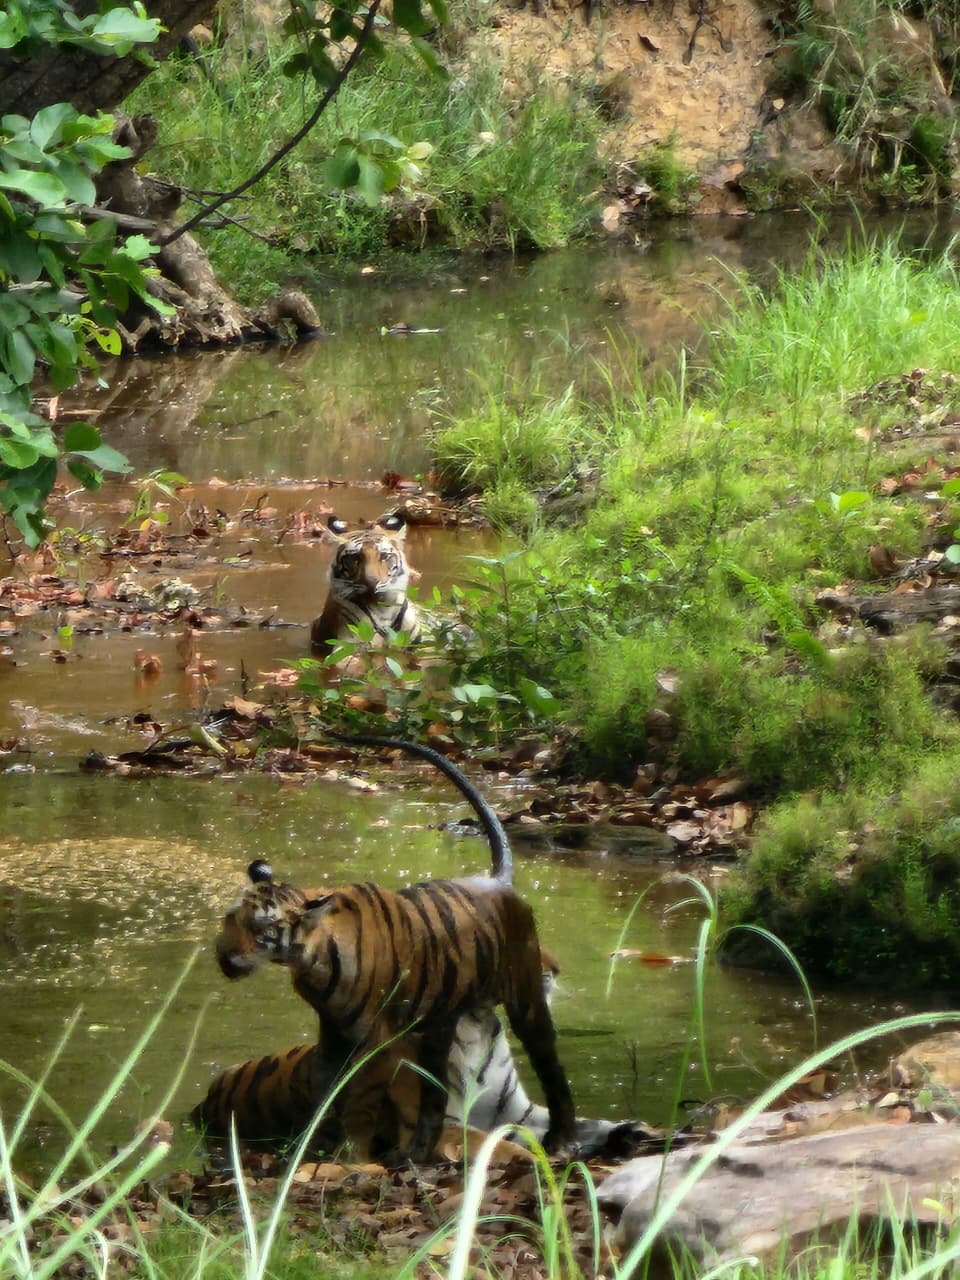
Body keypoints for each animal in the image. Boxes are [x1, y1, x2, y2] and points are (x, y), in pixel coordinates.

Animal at [214, 734, 577, 1164]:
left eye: (264, 928)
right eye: (231, 919)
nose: (223, 954)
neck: (310, 961)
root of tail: (498, 882)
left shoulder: (377, 1039)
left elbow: (360, 1100)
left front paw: (352, 1156)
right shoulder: (332, 1035)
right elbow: (327, 1089)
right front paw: (310, 1143)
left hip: (525, 999)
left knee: (551, 1067)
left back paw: (563, 1138)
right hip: (438, 1026)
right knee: (435, 1099)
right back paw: (416, 1152)